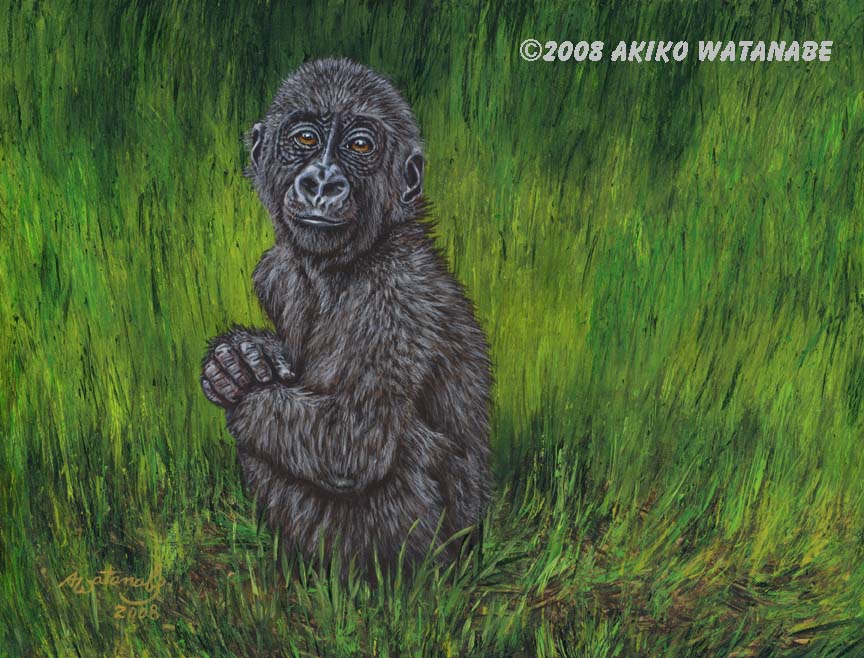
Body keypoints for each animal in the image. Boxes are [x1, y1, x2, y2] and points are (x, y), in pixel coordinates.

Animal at [200, 58, 492, 578]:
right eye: (305, 138)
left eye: (359, 146)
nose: (321, 182)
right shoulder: (274, 269)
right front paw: (239, 357)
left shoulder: (395, 299)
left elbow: (351, 442)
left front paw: (236, 381)